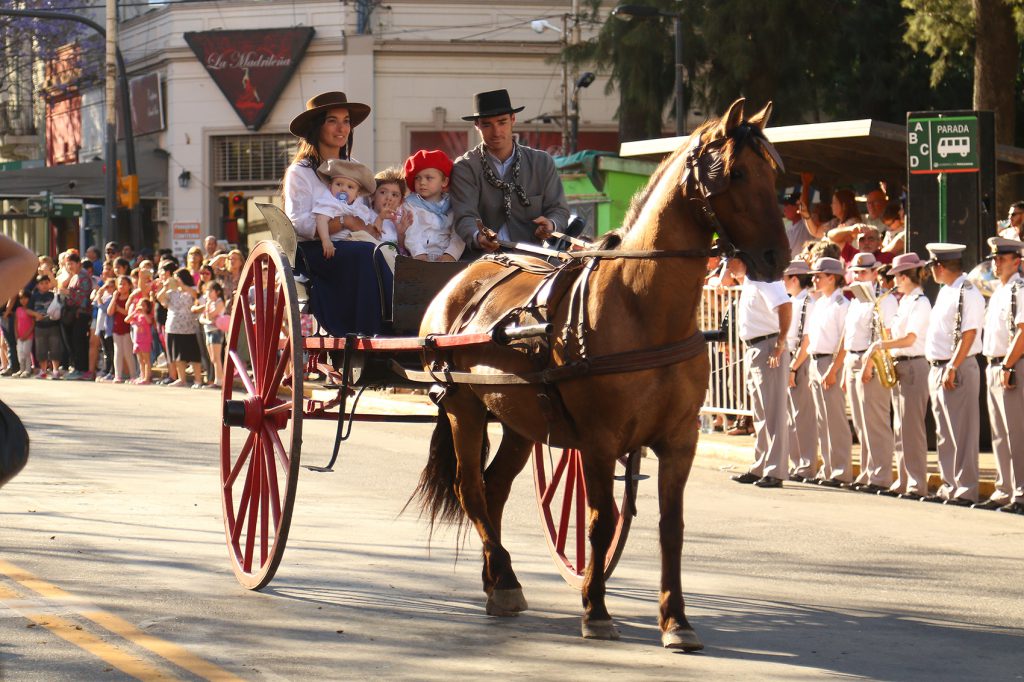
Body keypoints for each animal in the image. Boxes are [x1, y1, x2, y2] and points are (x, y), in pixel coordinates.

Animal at [411, 98, 786, 647]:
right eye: (736, 172)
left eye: (775, 174)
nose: (777, 257)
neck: (644, 305)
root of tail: (463, 279)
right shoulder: (599, 440)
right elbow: (600, 520)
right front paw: (596, 608)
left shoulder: (680, 440)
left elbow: (671, 527)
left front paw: (676, 620)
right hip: (464, 407)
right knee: (471, 489)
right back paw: (503, 579)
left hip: (520, 419)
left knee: (495, 488)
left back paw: (497, 578)